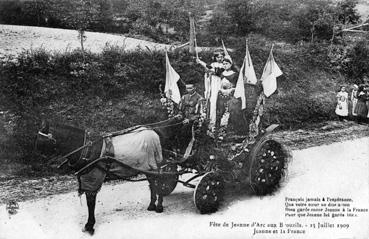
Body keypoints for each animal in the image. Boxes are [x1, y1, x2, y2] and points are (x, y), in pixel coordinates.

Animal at [34, 116, 193, 235]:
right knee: (153, 184)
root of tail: (157, 130)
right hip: (148, 166)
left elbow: (91, 203)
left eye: (41, 139)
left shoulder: (93, 178)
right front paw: (89, 224)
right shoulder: (86, 179)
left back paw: (159, 206)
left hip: (158, 164)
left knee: (159, 182)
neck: (88, 149)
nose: (36, 155)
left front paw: (90, 225)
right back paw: (152, 205)